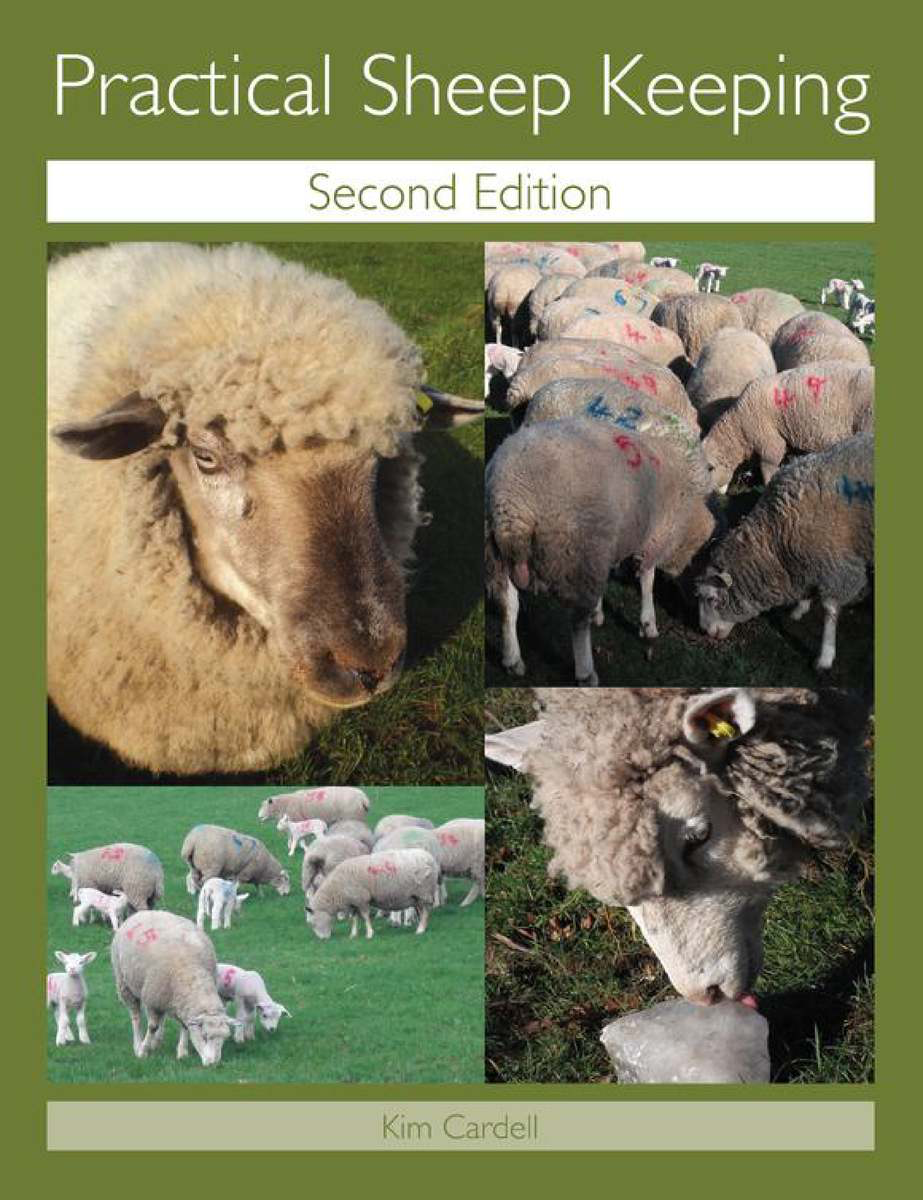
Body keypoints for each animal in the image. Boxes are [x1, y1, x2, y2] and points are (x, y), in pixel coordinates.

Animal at [111, 910, 235, 1065]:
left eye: (224, 1038)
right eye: (204, 1036)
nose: (213, 1064)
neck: (191, 972)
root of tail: (144, 912)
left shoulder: (180, 1001)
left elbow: (184, 1025)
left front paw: (182, 1052)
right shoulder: (152, 1000)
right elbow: (152, 1026)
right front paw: (143, 1051)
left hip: (162, 994)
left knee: (160, 1017)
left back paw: (156, 1041)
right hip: (125, 983)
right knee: (135, 1016)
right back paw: (138, 1044)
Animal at [306, 848, 440, 939]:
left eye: (313, 923)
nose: (323, 939)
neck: (336, 890)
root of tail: (430, 858)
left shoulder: (362, 899)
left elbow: (365, 917)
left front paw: (369, 933)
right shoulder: (353, 902)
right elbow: (354, 919)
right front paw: (353, 935)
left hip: (424, 892)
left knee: (426, 911)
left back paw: (420, 930)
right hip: (416, 896)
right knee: (422, 912)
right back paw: (422, 927)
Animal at [486, 415, 716, 685]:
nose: (703, 630)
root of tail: (513, 500)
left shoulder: (608, 543)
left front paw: (599, 611)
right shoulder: (654, 536)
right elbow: (647, 580)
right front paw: (648, 623)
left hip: (498, 554)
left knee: (507, 605)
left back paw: (512, 659)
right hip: (576, 548)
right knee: (577, 621)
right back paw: (586, 672)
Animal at [697, 433, 873, 670]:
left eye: (711, 599)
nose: (704, 631)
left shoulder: (837, 564)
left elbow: (830, 610)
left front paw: (825, 657)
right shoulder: (810, 559)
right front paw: (800, 608)